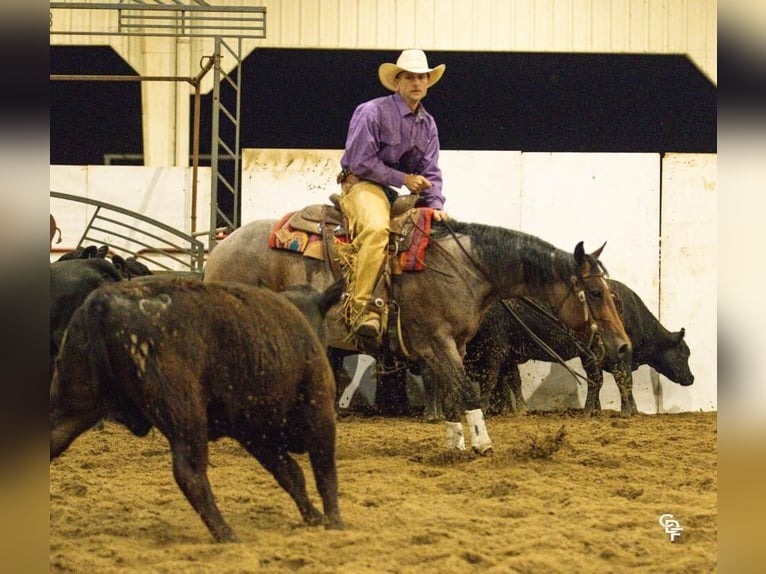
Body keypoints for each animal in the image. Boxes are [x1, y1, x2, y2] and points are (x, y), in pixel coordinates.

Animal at [50, 278, 344, 544]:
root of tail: (102, 302)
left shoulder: (254, 434)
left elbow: (291, 474)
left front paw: (314, 517)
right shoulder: (318, 410)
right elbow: (324, 472)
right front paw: (335, 523)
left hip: (76, 404)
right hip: (185, 414)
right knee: (189, 472)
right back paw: (227, 534)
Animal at [202, 214, 632, 456]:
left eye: (610, 292)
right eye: (596, 292)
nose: (623, 345)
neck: (463, 268)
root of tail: (221, 247)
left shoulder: (454, 345)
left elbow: (452, 391)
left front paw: (455, 443)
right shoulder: (437, 342)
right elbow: (466, 390)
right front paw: (481, 443)